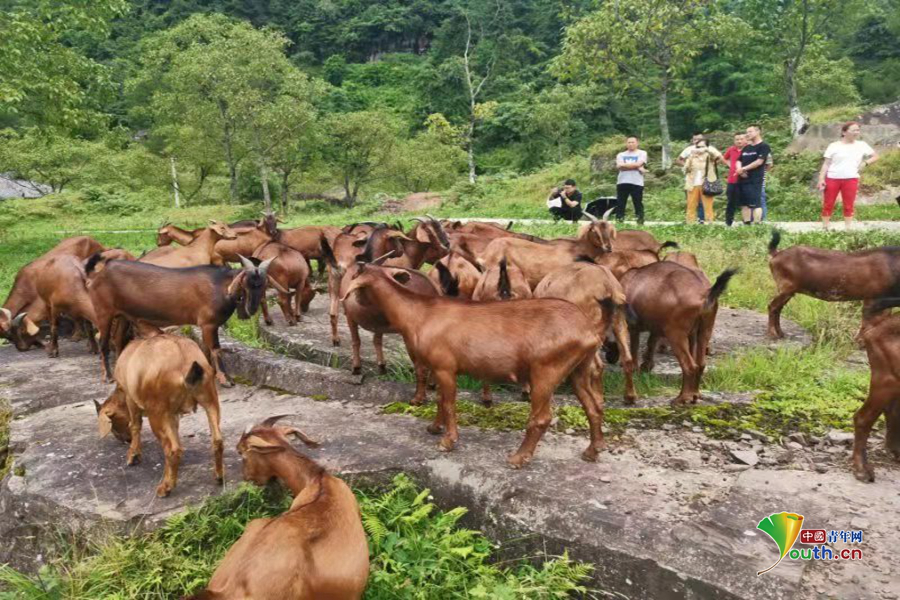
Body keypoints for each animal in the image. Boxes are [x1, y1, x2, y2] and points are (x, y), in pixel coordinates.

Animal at [95, 332, 223, 496]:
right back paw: (219, 476)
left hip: (157, 412)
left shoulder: (131, 399)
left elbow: (135, 425)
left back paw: (166, 486)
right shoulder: (172, 414)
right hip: (210, 399)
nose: (124, 440)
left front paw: (133, 455)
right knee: (217, 440)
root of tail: (184, 362)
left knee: (173, 449)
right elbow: (175, 430)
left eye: (113, 426)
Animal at [342, 266, 608, 468]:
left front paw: (448, 441)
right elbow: (440, 400)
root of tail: (589, 331)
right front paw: (434, 428)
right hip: (578, 368)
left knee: (542, 417)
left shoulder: (445, 367)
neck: (418, 314)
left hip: (547, 370)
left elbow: (449, 403)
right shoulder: (438, 369)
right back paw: (592, 451)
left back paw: (518, 458)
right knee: (593, 407)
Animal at [624, 262, 736, 404]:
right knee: (700, 364)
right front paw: (646, 366)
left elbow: (634, 353)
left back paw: (682, 398)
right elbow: (651, 342)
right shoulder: (665, 330)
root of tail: (705, 294)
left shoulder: (633, 328)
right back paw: (694, 394)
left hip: (676, 334)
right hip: (704, 331)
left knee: (689, 366)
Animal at [768, 231, 900, 338]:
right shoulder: (873, 299)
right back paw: (773, 334)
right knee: (772, 306)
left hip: (788, 290)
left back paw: (780, 333)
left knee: (778, 308)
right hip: (786, 288)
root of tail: (776, 255)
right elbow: (868, 325)